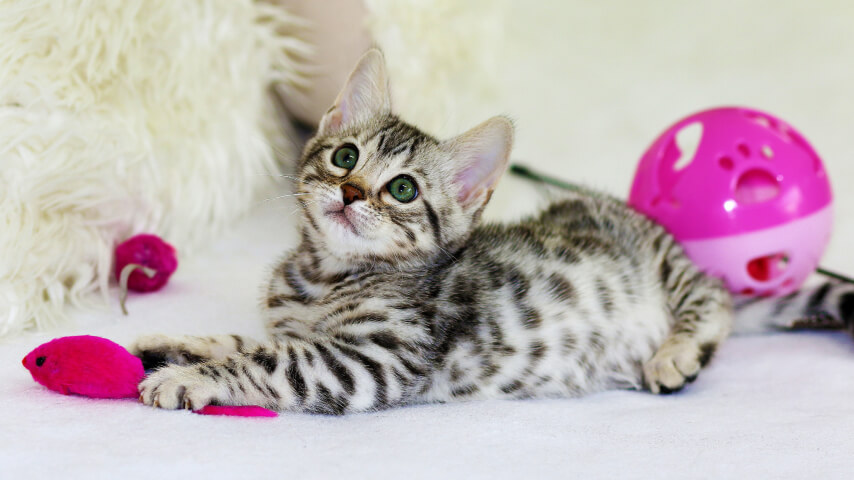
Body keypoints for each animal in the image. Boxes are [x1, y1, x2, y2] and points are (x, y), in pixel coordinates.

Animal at [134, 50, 854, 414]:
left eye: (403, 190)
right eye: (345, 156)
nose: (351, 192)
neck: (323, 276)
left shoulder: (365, 361)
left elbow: (266, 361)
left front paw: (192, 378)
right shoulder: (301, 331)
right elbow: (243, 339)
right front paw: (174, 343)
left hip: (671, 268)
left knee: (714, 297)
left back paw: (676, 353)